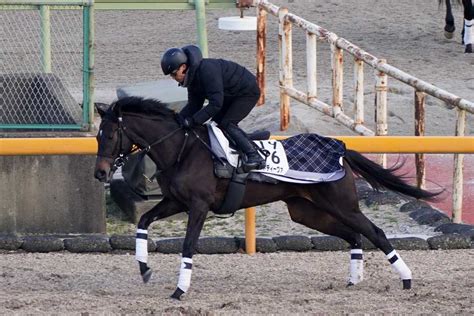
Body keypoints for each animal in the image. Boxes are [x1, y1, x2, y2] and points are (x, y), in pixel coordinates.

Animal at [94, 97, 442, 300]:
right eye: (97, 137)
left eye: (110, 135)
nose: (100, 173)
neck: (183, 149)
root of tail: (341, 149)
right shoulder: (175, 203)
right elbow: (143, 220)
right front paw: (144, 268)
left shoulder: (198, 206)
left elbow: (188, 244)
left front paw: (180, 289)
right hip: (307, 210)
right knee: (354, 235)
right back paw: (354, 280)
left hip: (342, 204)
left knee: (375, 232)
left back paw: (407, 279)